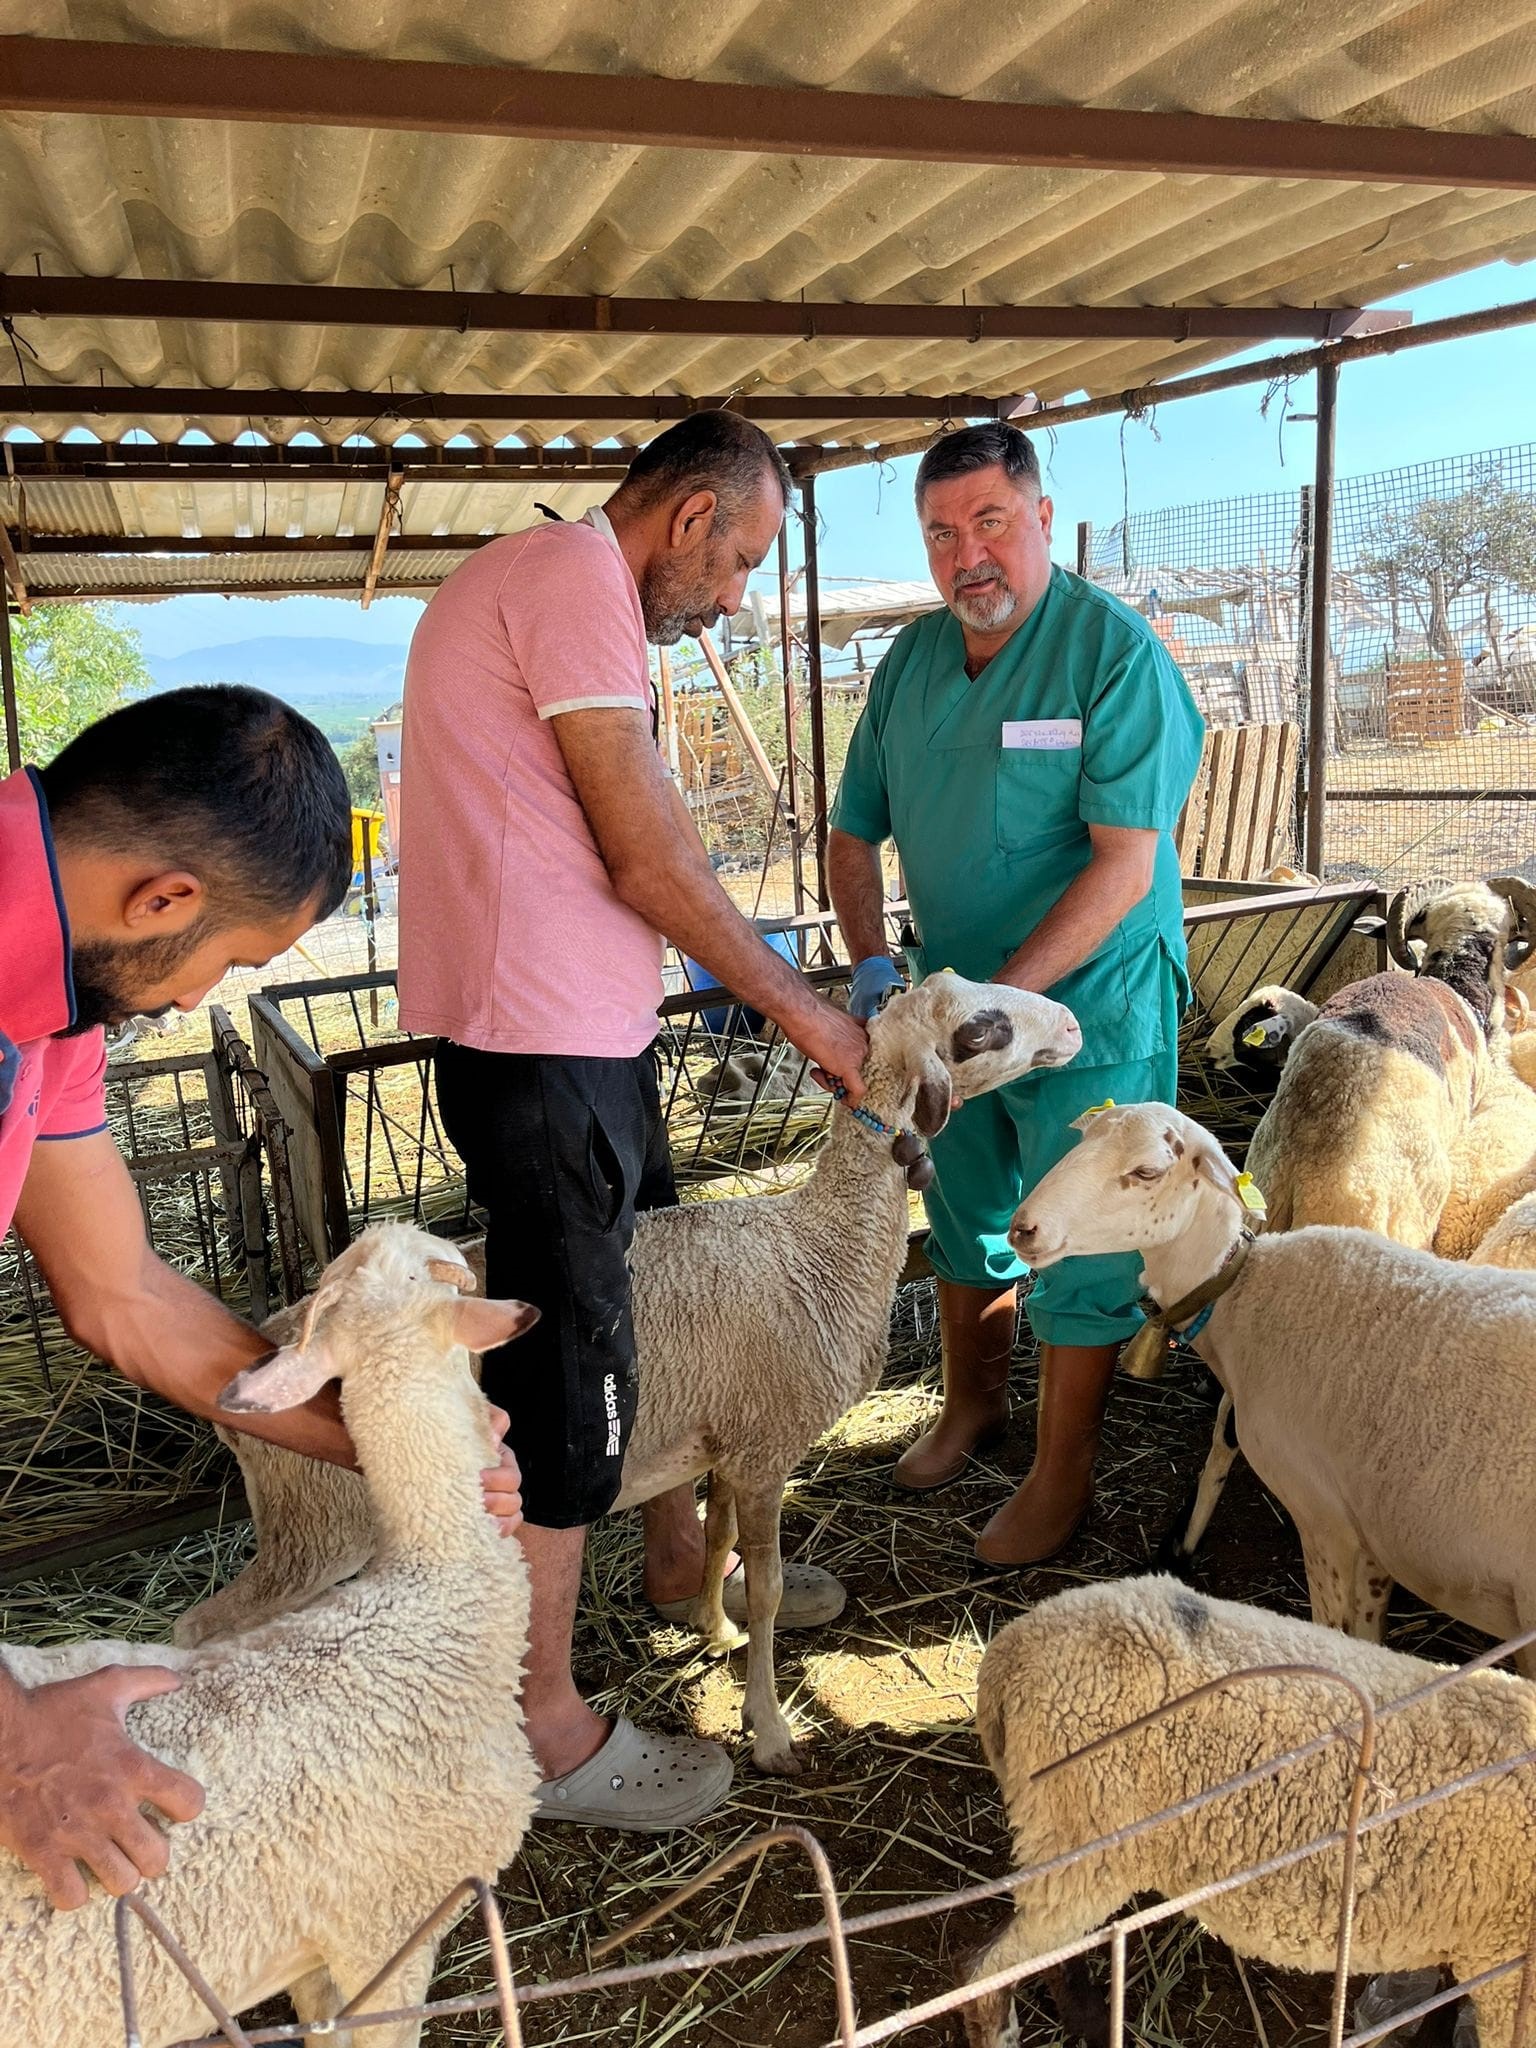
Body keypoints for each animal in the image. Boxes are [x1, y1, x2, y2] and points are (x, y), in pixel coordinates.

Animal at [180, 966, 1089, 1769]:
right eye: (980, 1031)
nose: (1074, 1024)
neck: (822, 1244)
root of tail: (272, 1344)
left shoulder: (724, 1442)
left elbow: (716, 1536)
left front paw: (713, 1629)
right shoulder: (766, 1449)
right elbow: (764, 1585)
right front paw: (768, 1728)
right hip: (319, 1522)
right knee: (204, 1628)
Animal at [966, 1581, 1531, 2048]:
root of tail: (1012, 1649)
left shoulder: (1477, 1944)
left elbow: (1446, 2000)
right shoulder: (1509, 1972)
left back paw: (1089, 2021)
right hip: (1083, 1836)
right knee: (984, 1970)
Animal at [1015, 1105, 1536, 1679]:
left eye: (1147, 1172)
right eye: (1081, 1139)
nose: (1022, 1228)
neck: (1244, 1293)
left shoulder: (1325, 1519)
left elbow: (1334, 1628)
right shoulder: (1372, 1537)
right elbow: (1369, 1632)